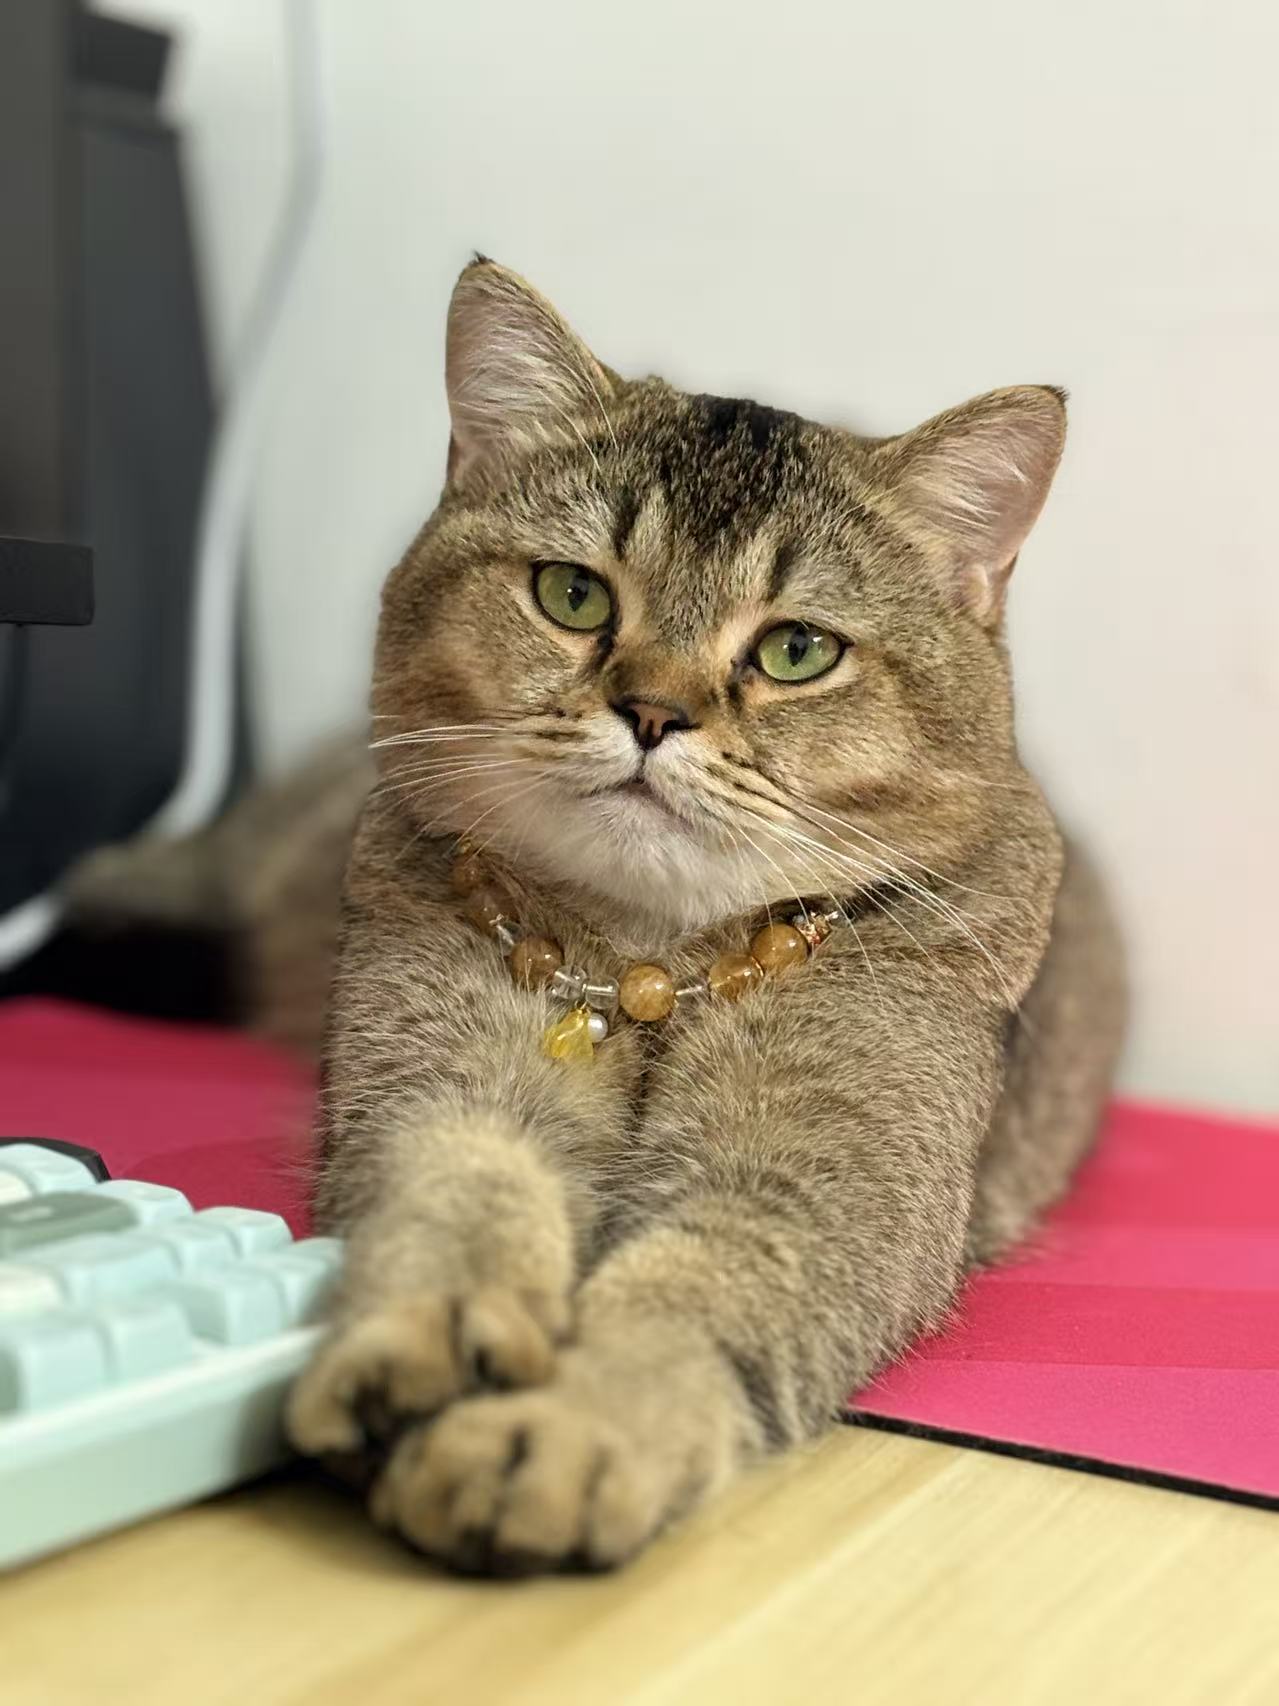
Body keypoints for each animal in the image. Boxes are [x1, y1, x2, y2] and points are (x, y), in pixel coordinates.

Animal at [177, 256, 1132, 1574]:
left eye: (796, 649)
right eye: (572, 593)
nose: (652, 712)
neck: (647, 966)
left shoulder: (821, 1176)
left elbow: (695, 1284)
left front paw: (564, 1430)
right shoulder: (437, 1073)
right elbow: (455, 1183)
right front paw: (428, 1333)